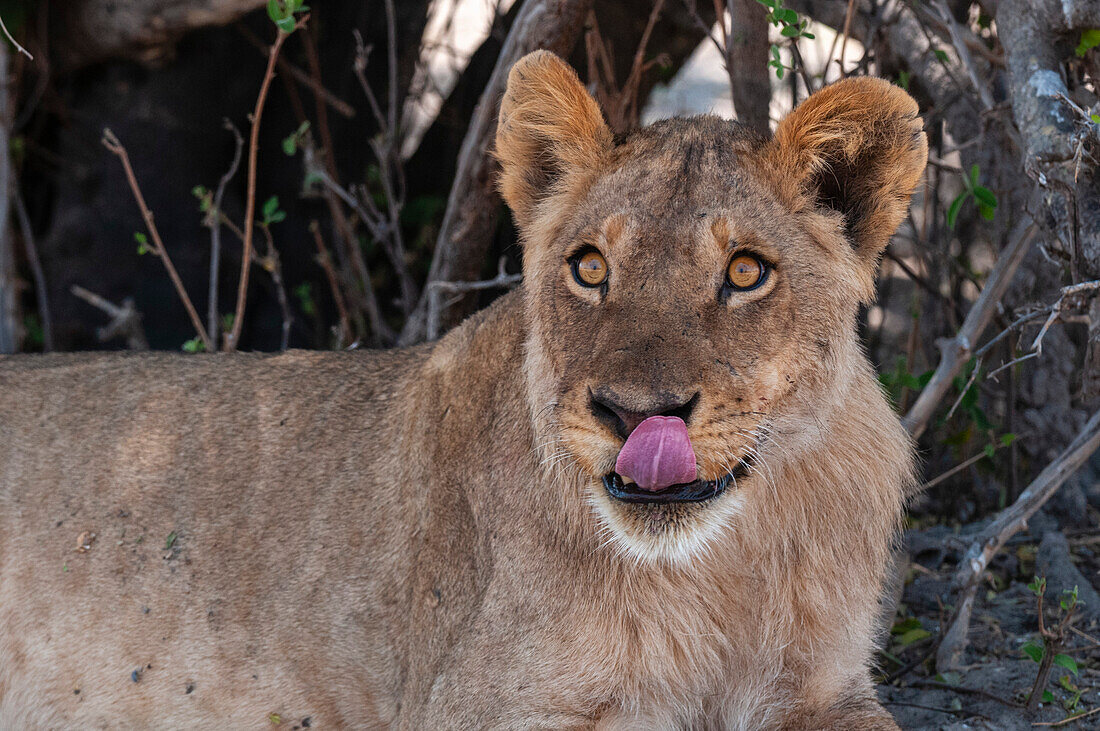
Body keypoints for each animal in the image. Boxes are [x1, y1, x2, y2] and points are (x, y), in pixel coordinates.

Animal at [0, 50, 924, 725]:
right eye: (591, 267)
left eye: (745, 272)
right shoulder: (480, 703)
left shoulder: (830, 689)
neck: (721, 572)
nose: (634, 415)